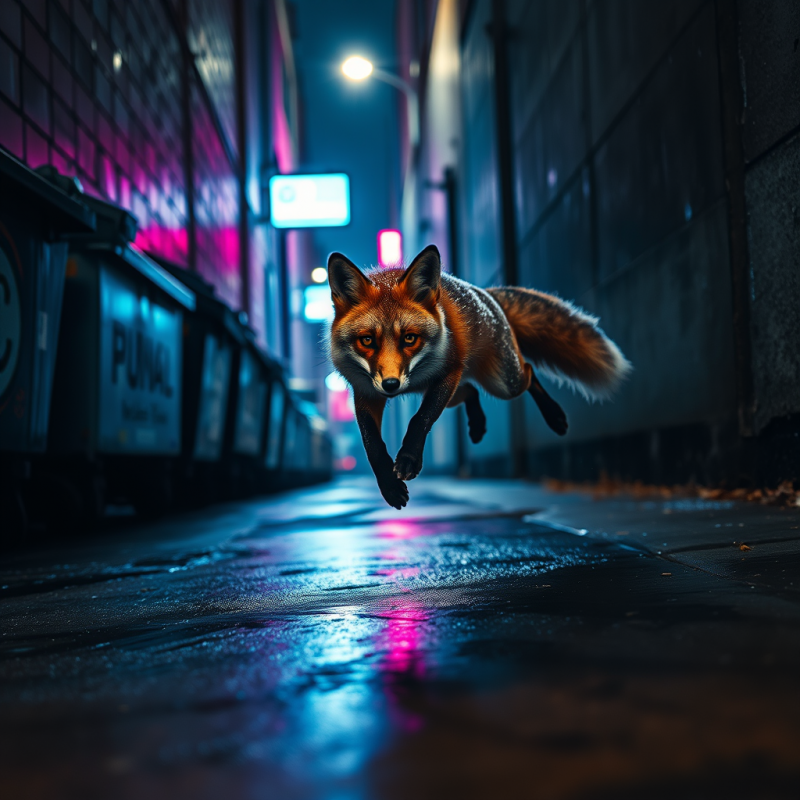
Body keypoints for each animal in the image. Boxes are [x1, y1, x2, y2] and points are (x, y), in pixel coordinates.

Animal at [327, 244, 631, 509]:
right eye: (367, 340)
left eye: (410, 338)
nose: (391, 385)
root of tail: (487, 294)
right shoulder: (366, 390)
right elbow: (372, 445)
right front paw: (390, 487)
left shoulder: (448, 372)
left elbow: (419, 420)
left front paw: (408, 460)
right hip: (451, 391)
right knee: (471, 390)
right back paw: (477, 424)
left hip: (502, 383)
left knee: (528, 372)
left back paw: (554, 416)